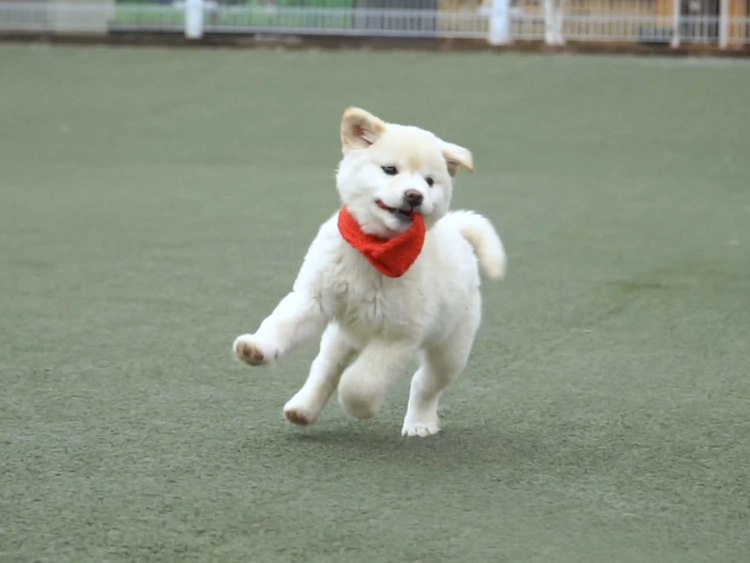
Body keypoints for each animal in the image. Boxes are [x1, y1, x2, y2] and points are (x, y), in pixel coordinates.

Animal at [233, 107, 506, 437]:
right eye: (390, 169)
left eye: (429, 181)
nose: (414, 195)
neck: (374, 249)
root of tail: (457, 230)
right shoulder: (314, 298)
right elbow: (281, 324)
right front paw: (257, 348)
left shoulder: (398, 336)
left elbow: (360, 383)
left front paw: (362, 408)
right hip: (341, 335)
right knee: (325, 368)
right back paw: (303, 408)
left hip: (450, 348)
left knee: (424, 385)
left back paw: (420, 423)